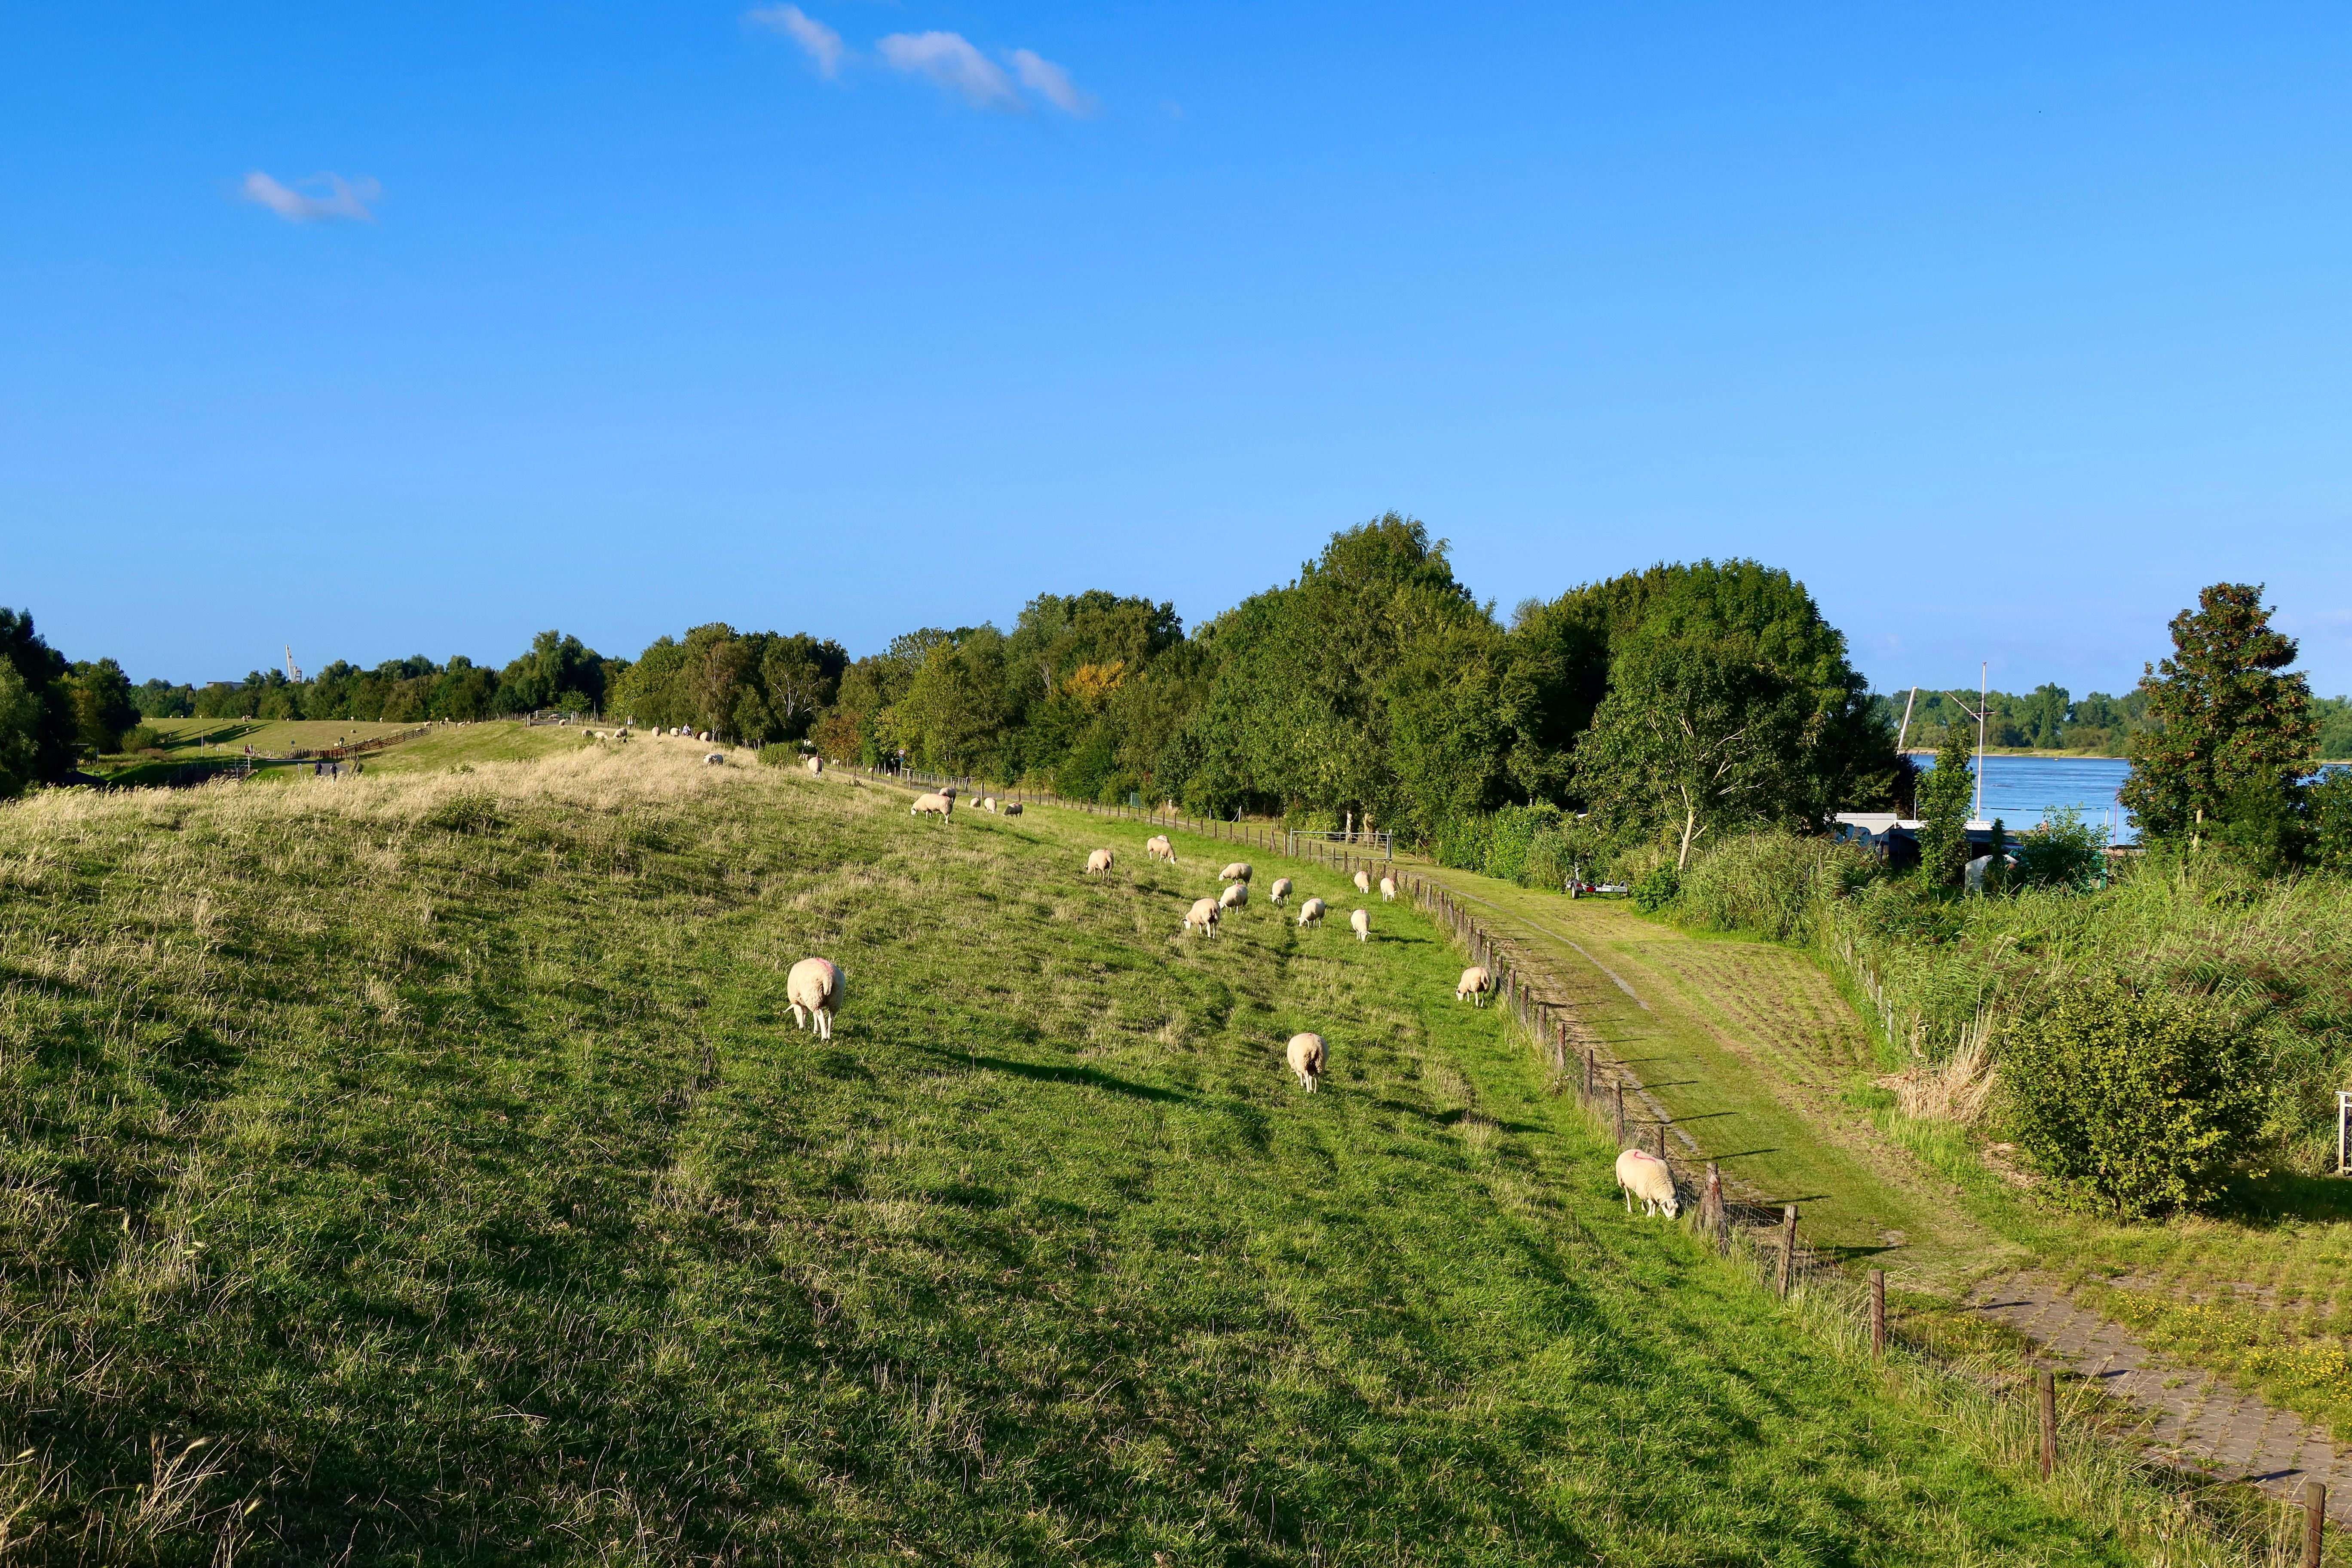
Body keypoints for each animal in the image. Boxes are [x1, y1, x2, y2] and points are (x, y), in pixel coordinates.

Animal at [787, 957, 844, 1043]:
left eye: (794, 1012)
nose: (798, 1022)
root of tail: (828, 978)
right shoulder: (814, 1002)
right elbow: (813, 1015)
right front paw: (815, 1030)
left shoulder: (800, 999)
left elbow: (802, 1011)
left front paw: (802, 1026)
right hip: (834, 999)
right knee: (831, 1018)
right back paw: (829, 1036)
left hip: (814, 995)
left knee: (822, 1017)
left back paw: (824, 1037)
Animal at [1286, 1031, 1327, 1093]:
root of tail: (1314, 1047)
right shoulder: (1311, 1069)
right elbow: (1311, 1077)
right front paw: (1311, 1088)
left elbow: (1302, 1075)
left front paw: (1302, 1084)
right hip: (1320, 1063)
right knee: (1317, 1079)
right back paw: (1315, 1092)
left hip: (1303, 1063)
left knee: (1307, 1076)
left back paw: (1308, 1091)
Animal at [1615, 1148, 1680, 1218]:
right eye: (1667, 1208)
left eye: (1677, 1208)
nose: (1673, 1219)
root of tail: (1628, 1150)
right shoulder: (1647, 1193)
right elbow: (1652, 1204)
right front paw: (1649, 1215)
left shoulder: (1652, 1193)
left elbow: (1655, 1204)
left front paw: (1654, 1215)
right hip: (1623, 1181)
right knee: (1628, 1195)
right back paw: (1630, 1210)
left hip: (1641, 1189)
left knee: (1641, 1198)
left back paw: (1644, 1208)